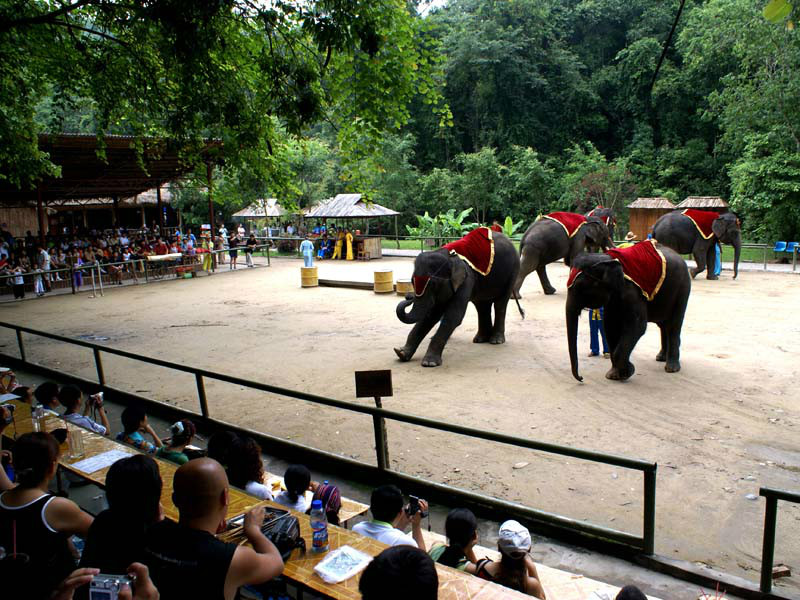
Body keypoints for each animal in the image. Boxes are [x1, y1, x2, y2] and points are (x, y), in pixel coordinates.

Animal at [396, 229, 520, 366]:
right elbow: (431, 315)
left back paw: (495, 341)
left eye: (433, 284)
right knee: (482, 306)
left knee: (500, 304)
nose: (408, 297)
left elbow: (454, 315)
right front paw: (401, 353)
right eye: (412, 282)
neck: (449, 257)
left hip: (513, 270)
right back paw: (480, 339)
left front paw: (429, 363)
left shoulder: (466, 279)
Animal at [564, 241, 692, 382]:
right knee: (663, 325)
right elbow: (610, 325)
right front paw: (613, 375)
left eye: (580, 287)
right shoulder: (614, 294)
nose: (581, 378)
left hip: (683, 288)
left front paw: (628, 371)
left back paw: (671, 368)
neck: (608, 258)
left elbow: (637, 326)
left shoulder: (632, 292)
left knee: (674, 324)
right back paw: (661, 358)